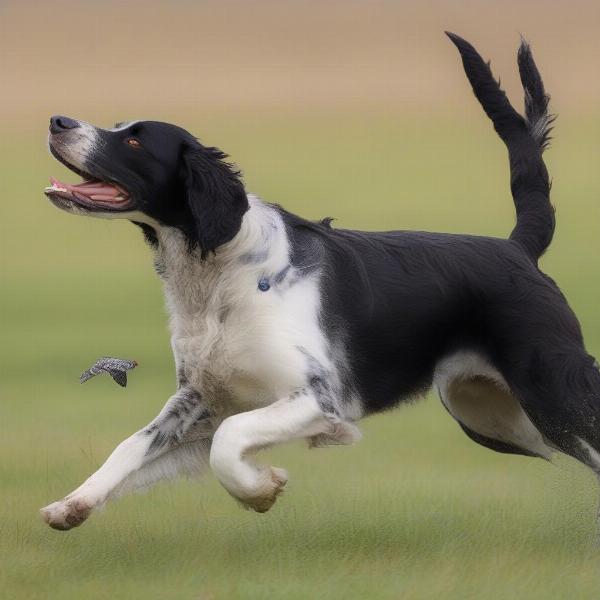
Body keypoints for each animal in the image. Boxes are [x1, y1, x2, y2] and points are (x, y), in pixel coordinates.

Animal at [39, 34, 596, 528]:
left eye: (134, 138)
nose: (57, 120)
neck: (221, 276)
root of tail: (518, 247)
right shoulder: (200, 399)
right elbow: (133, 445)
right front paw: (72, 505)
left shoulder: (316, 398)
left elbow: (228, 442)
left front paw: (261, 490)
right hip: (494, 416)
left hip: (554, 394)